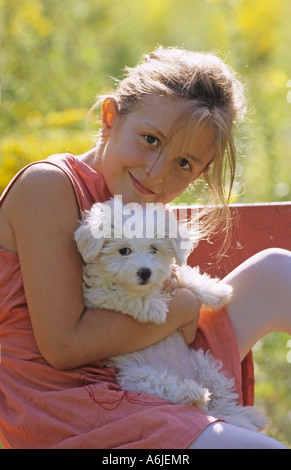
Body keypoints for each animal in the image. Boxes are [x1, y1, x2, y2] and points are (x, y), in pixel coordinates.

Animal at [76, 199, 270, 434]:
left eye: (154, 249)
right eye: (123, 250)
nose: (145, 272)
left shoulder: (171, 277)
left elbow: (186, 276)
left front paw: (217, 291)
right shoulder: (95, 295)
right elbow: (122, 295)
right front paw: (155, 307)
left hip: (207, 367)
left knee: (222, 398)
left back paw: (246, 415)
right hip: (140, 376)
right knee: (169, 388)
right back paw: (193, 394)